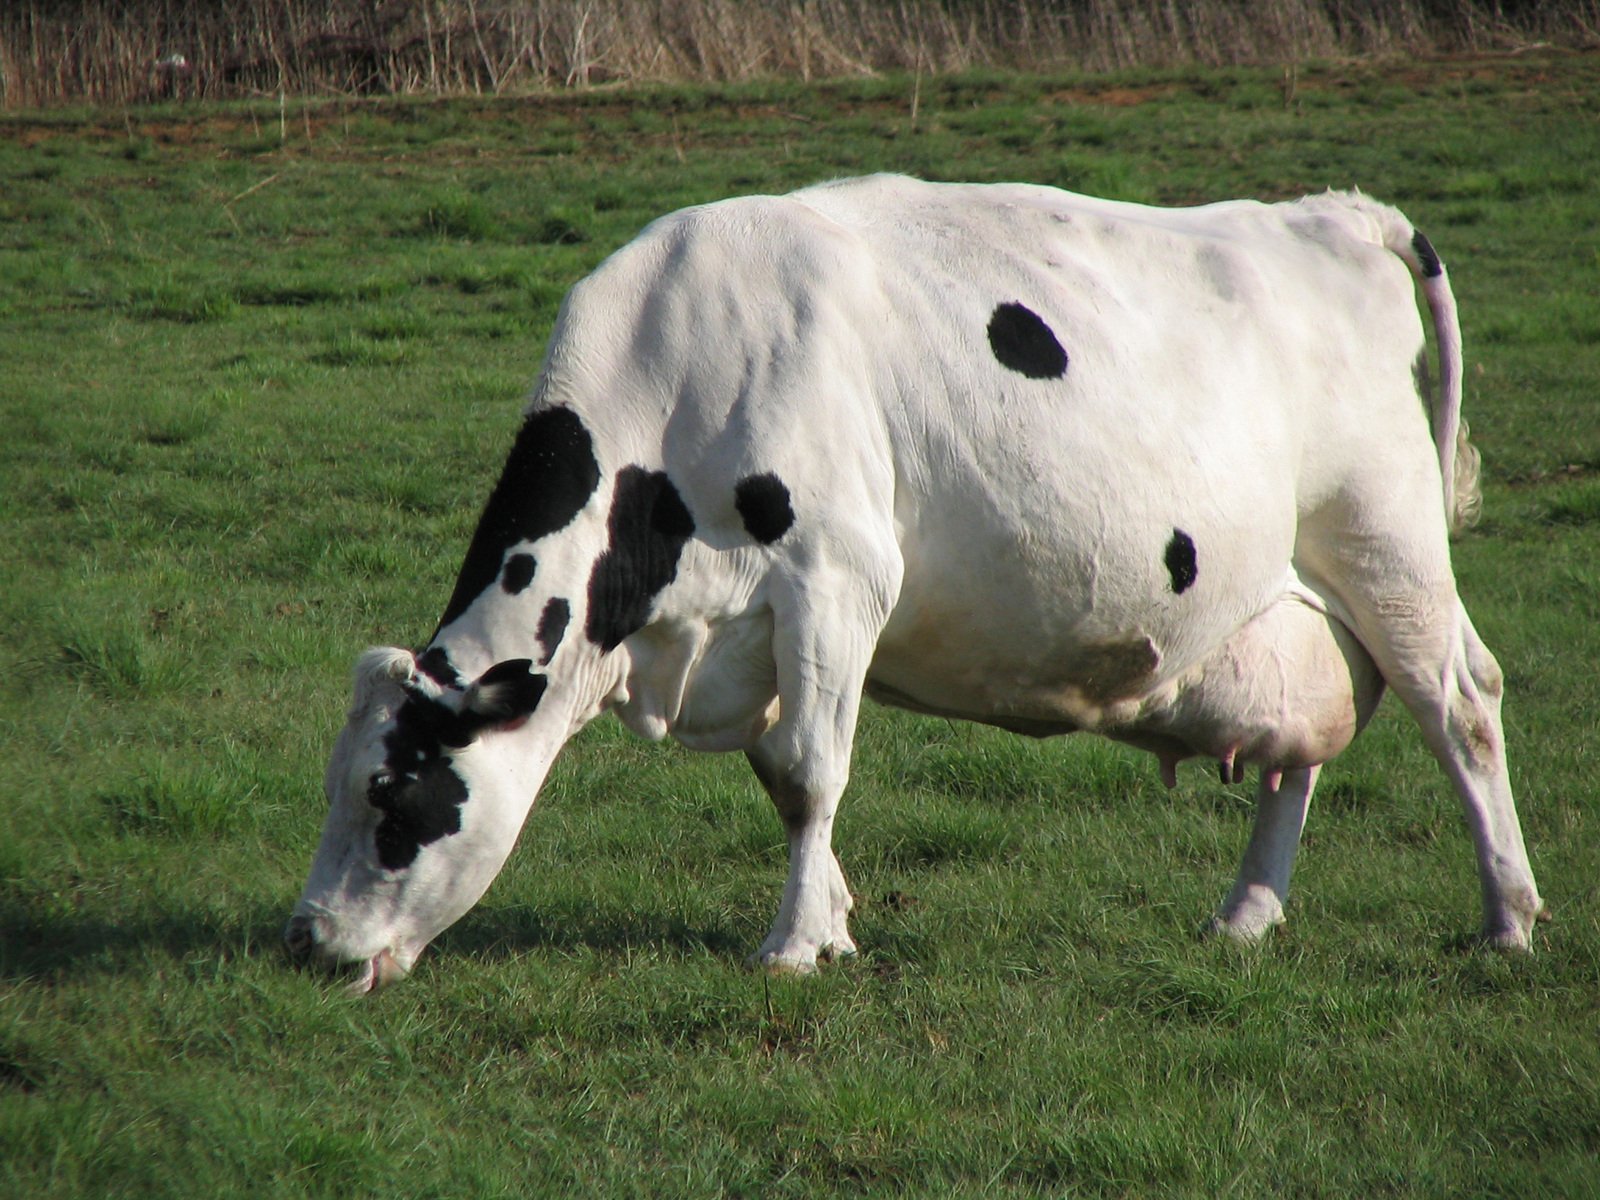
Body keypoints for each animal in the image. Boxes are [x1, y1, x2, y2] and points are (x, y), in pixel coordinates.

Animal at [284, 171, 1536, 998]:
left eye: (391, 793)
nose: (306, 942)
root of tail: (1331, 212)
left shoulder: (836, 578)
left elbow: (810, 771)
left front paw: (793, 947)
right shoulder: (759, 632)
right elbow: (784, 779)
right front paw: (834, 922)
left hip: (1384, 540)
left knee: (1460, 703)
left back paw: (1508, 920)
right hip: (1293, 597)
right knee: (1303, 743)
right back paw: (1243, 918)